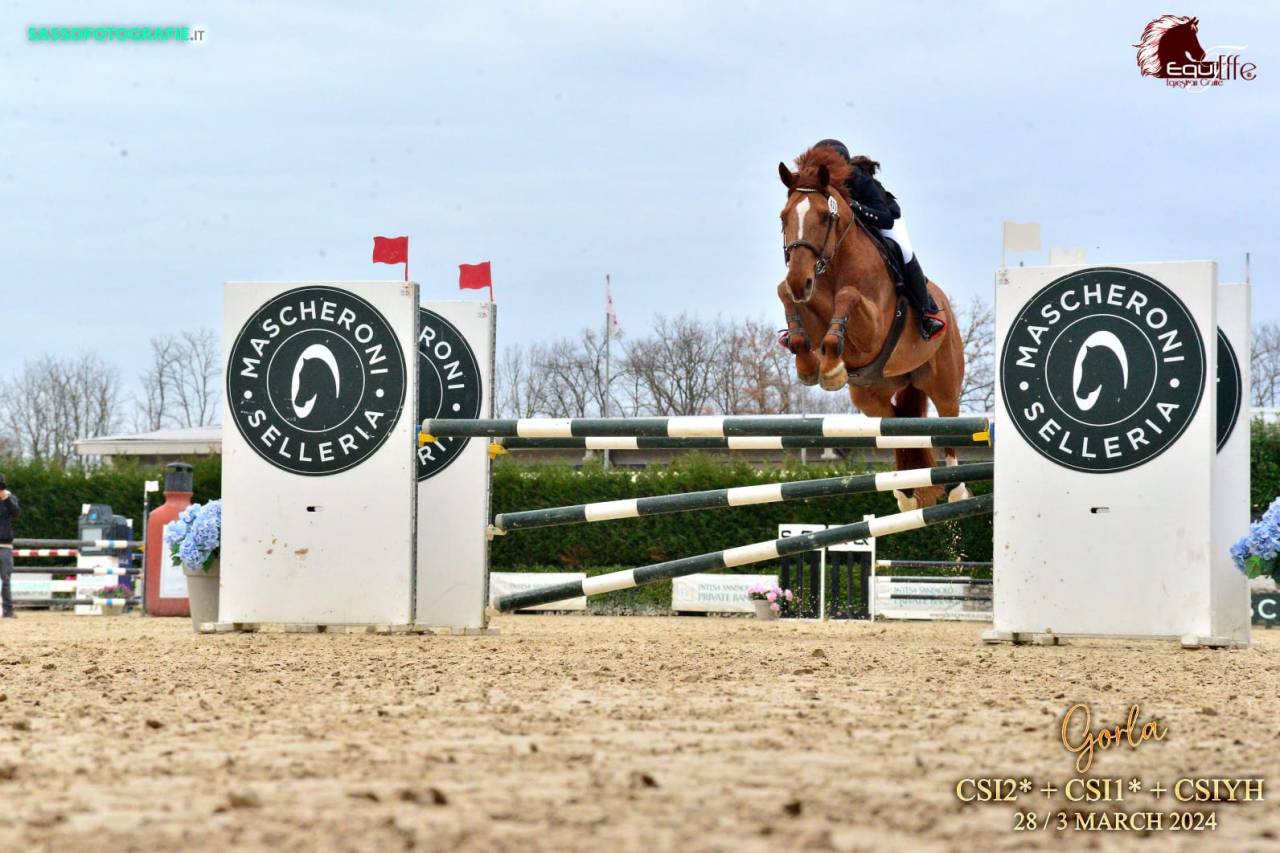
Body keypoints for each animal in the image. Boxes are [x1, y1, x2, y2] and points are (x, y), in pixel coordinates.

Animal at [775, 146, 968, 510]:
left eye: (823, 217)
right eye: (783, 218)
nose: (799, 280)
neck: (832, 263)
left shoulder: (873, 329)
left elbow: (848, 296)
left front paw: (831, 368)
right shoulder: (810, 302)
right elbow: (784, 294)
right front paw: (809, 364)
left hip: (943, 383)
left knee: (948, 424)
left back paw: (954, 488)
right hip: (870, 395)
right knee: (897, 426)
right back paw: (909, 491)